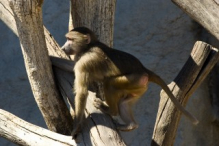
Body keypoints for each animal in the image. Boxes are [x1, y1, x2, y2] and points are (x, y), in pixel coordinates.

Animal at [52, 26, 198, 140]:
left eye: (70, 39)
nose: (63, 47)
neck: (88, 46)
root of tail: (143, 69)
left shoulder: (86, 61)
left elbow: (82, 91)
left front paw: (76, 127)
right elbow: (71, 67)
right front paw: (50, 58)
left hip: (135, 79)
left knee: (109, 84)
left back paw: (110, 110)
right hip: (139, 87)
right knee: (123, 103)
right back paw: (131, 125)